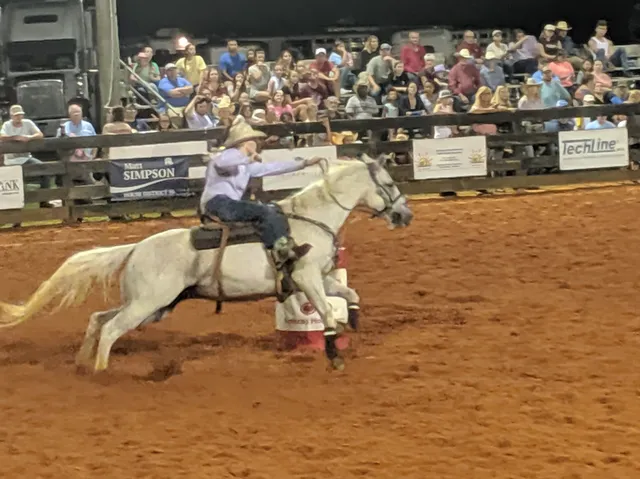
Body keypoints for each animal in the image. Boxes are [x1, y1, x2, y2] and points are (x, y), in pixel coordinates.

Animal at [0, 153, 413, 372]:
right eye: (391, 184)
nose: (405, 215)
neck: (311, 219)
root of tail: (136, 248)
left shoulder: (320, 277)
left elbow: (350, 293)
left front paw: (353, 322)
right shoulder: (308, 277)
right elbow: (327, 312)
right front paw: (334, 355)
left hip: (153, 305)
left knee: (98, 320)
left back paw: (83, 365)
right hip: (148, 304)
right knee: (112, 328)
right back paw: (102, 373)